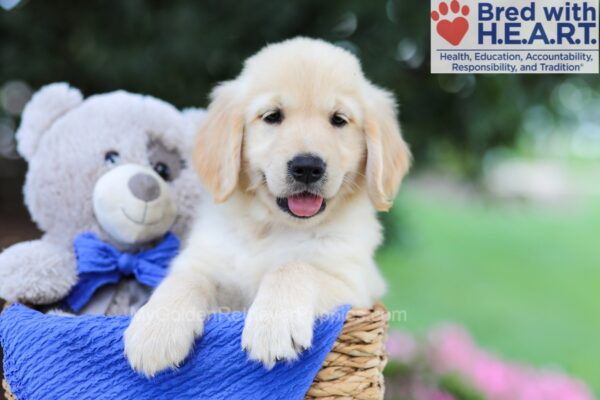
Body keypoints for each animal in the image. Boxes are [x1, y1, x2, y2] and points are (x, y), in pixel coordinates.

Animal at [124, 36, 410, 376]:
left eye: (339, 120)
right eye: (272, 116)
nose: (307, 167)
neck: (272, 227)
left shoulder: (356, 286)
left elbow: (293, 266)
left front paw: (274, 325)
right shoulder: (207, 262)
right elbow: (185, 278)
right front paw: (155, 330)